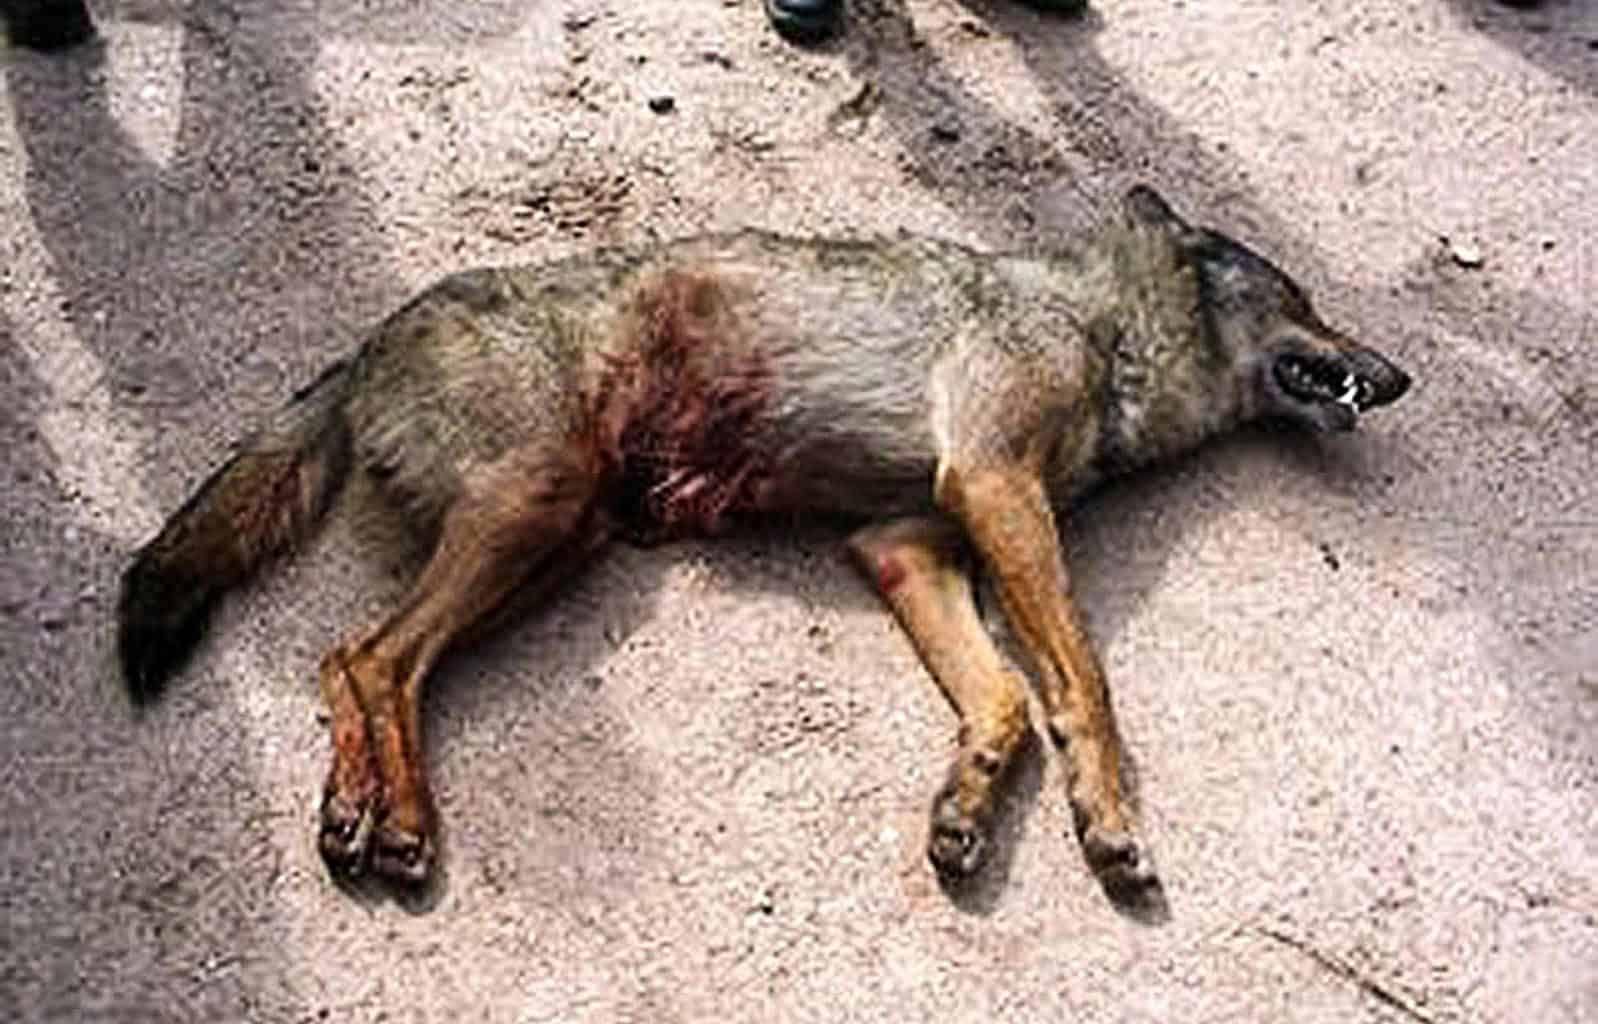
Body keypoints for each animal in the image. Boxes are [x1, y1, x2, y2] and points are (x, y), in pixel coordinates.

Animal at [117, 186, 1410, 898]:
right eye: (1307, 301)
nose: (1399, 376)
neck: (1095, 322)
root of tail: (368, 341)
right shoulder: (996, 491)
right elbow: (1083, 688)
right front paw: (1110, 824)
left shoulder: (906, 545)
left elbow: (1001, 701)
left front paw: (964, 809)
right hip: (533, 512)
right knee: (370, 658)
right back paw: (397, 825)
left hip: (558, 542)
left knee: (364, 663)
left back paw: (363, 814)